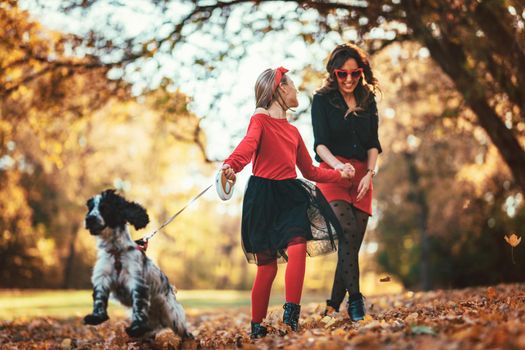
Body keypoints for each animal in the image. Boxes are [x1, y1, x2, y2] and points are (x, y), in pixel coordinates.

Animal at [85, 189, 191, 340]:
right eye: (90, 208)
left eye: (105, 208)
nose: (89, 219)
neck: (116, 251)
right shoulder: (102, 278)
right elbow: (99, 299)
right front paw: (96, 317)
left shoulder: (137, 282)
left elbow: (139, 307)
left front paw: (135, 328)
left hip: (172, 313)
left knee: (183, 328)